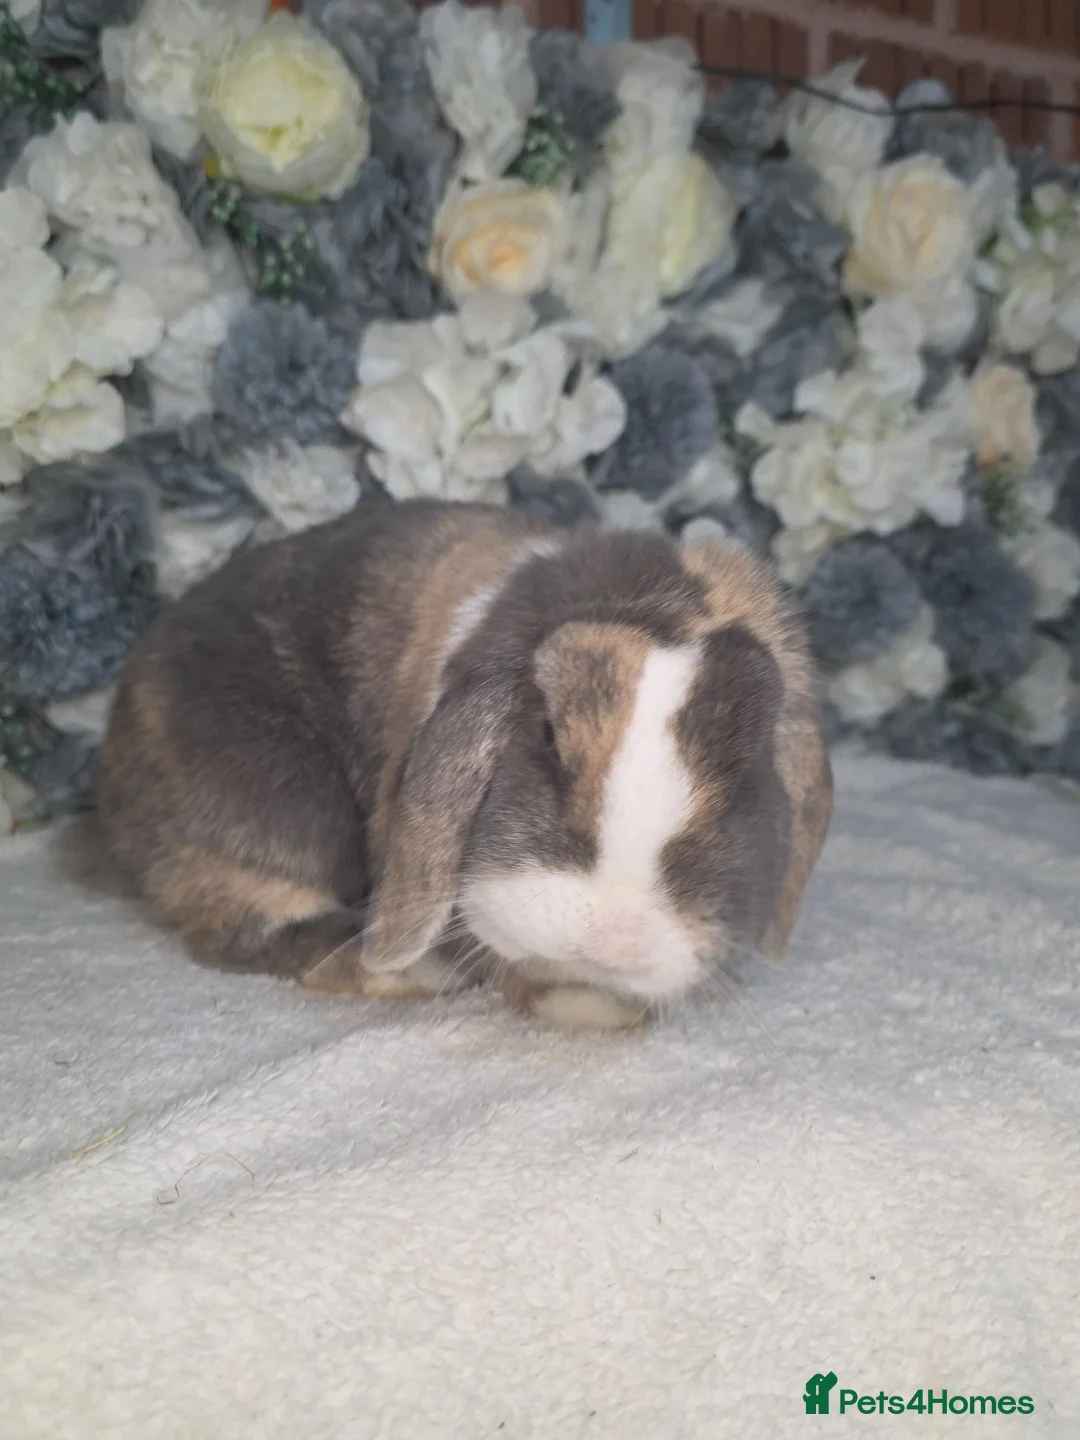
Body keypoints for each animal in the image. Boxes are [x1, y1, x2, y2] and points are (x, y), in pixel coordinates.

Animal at [95, 497, 833, 1030]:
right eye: (546, 734)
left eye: (746, 771)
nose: (613, 936)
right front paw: (587, 1003)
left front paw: (596, 1002)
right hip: (287, 815)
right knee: (240, 928)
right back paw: (412, 974)